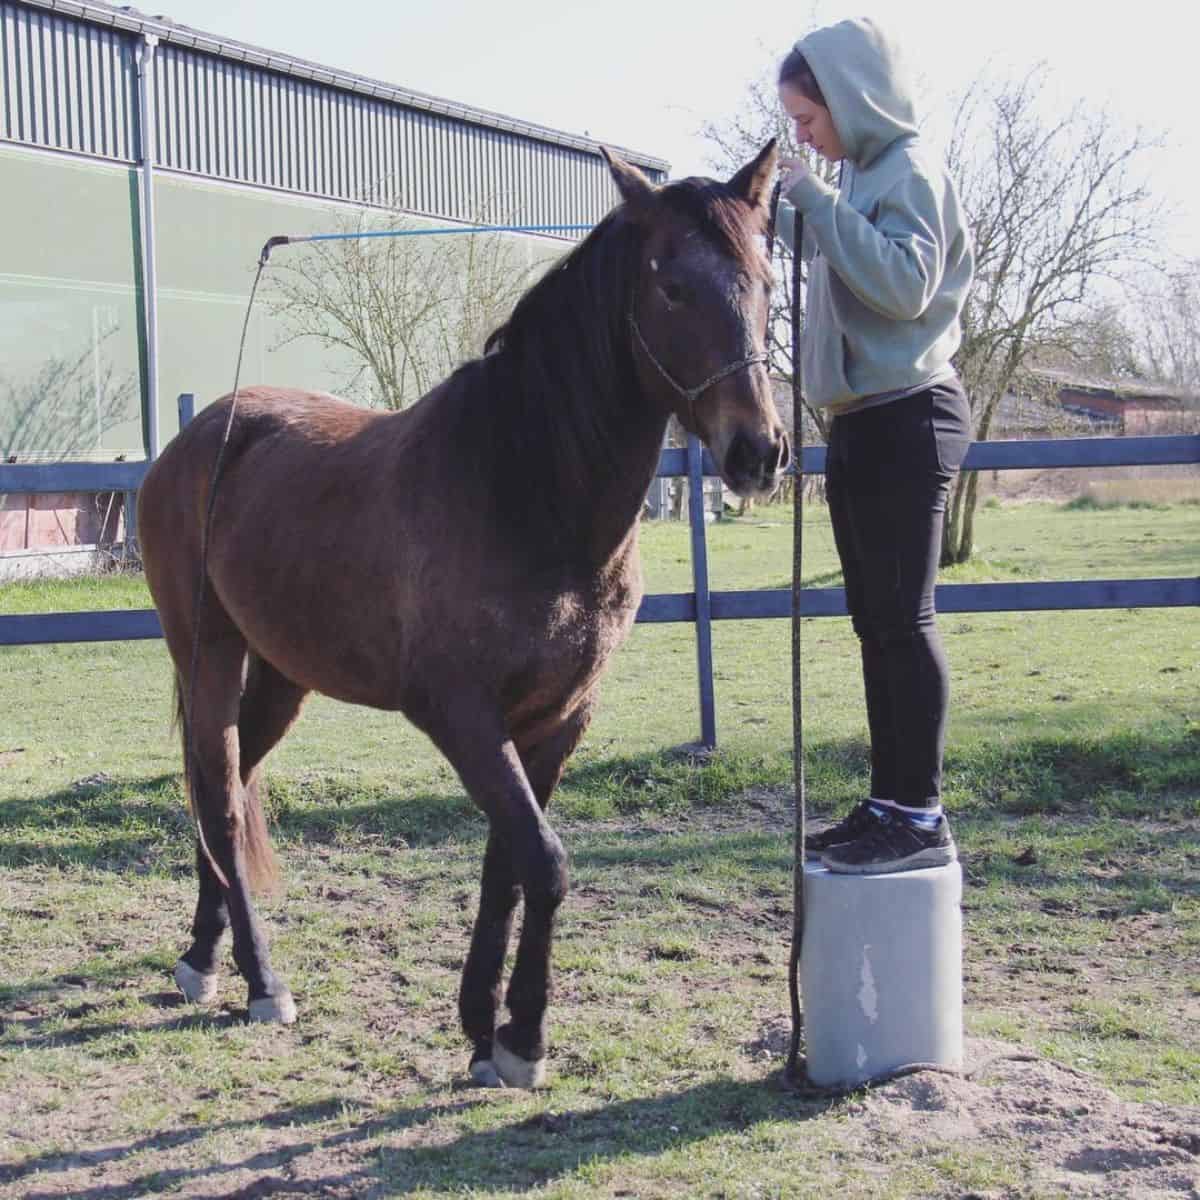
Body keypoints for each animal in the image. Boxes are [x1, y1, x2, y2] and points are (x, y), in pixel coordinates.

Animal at [138, 142, 787, 1089]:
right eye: (670, 286)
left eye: (766, 281)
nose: (759, 452)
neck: (524, 484)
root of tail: (199, 438)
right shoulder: (460, 714)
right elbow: (544, 863)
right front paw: (524, 1040)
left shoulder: (556, 718)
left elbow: (506, 865)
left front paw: (484, 1027)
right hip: (209, 651)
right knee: (220, 798)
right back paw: (263, 984)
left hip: (283, 675)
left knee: (223, 788)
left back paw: (202, 958)